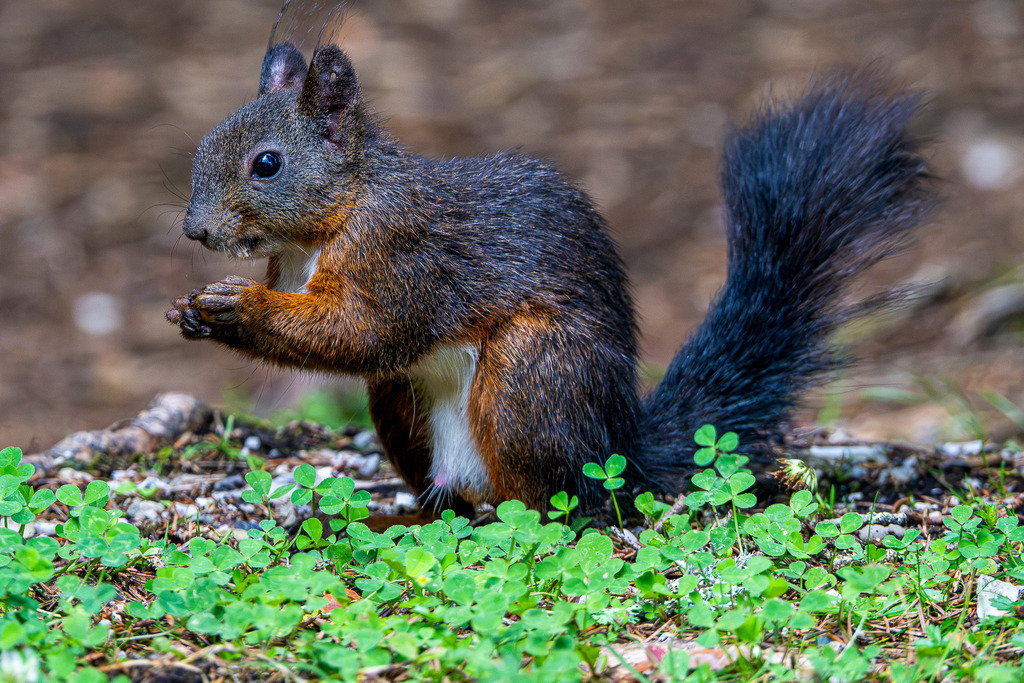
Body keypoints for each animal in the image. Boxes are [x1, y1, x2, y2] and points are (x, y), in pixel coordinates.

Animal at [166, 41, 933, 517]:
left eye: (266, 164)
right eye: (202, 145)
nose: (195, 230)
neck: (325, 227)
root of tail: (618, 445)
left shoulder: (403, 253)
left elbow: (365, 330)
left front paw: (237, 307)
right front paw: (192, 312)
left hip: (530, 373)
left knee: (558, 505)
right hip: (400, 406)